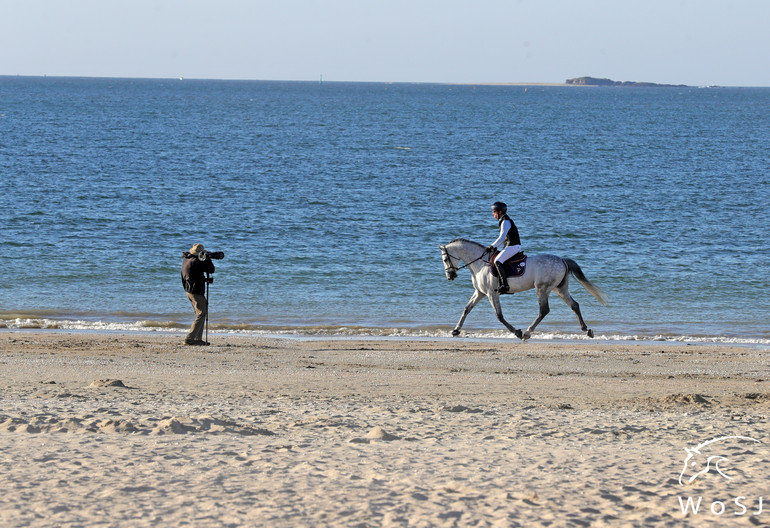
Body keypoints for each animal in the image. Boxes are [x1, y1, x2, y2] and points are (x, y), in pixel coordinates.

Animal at [438, 238, 608, 340]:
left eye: (445, 258)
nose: (450, 276)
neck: (480, 264)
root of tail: (562, 260)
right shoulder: (480, 293)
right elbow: (467, 309)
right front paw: (455, 330)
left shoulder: (492, 294)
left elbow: (499, 316)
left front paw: (517, 332)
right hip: (559, 289)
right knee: (574, 305)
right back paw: (587, 330)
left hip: (542, 289)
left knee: (544, 310)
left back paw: (527, 332)